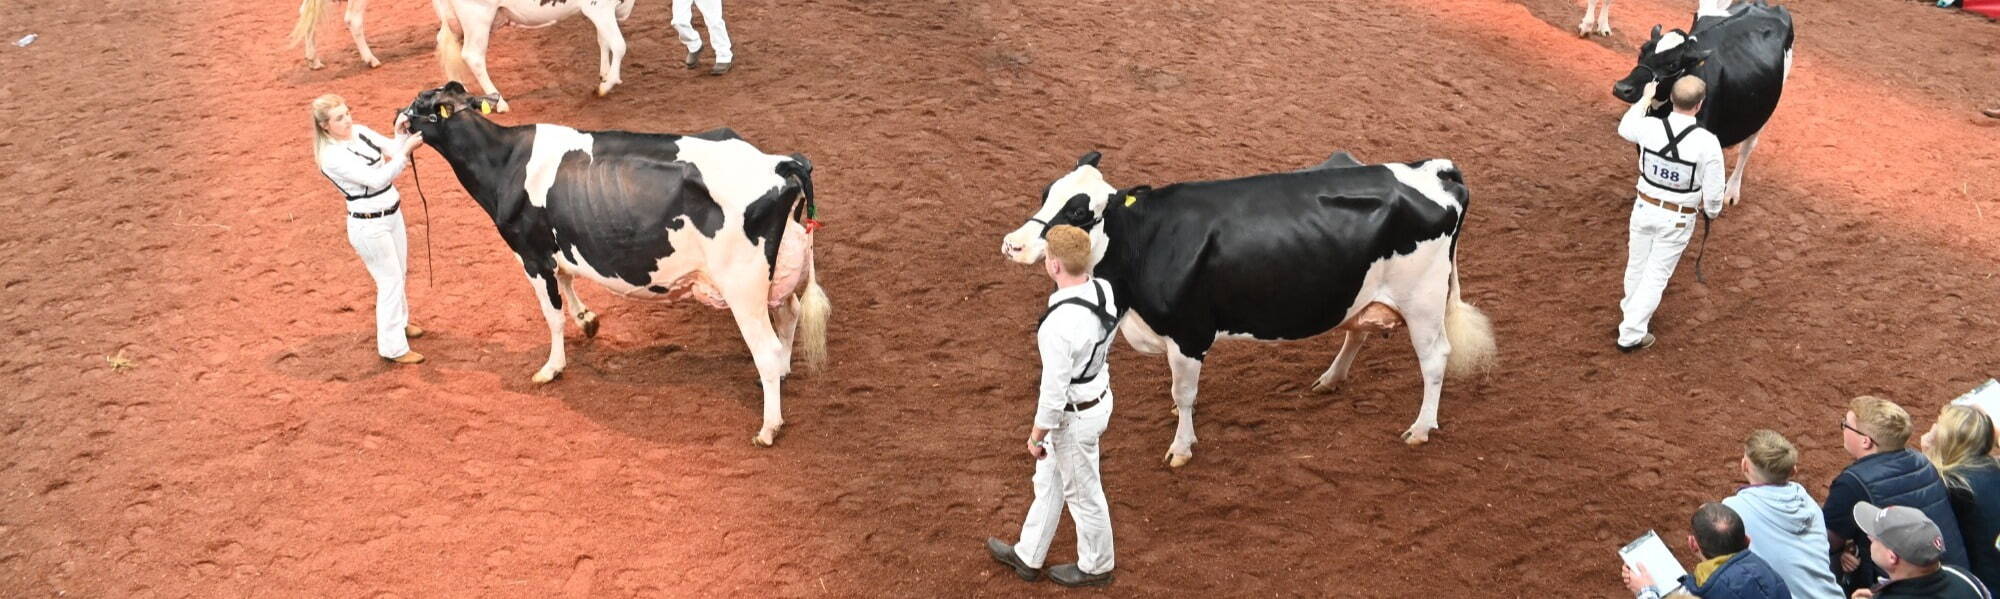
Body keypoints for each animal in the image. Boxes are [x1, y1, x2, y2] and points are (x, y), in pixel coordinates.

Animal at [402, 81, 824, 447]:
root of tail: (779, 163)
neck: (505, 162)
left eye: (421, 106)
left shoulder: (531, 254)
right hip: (777, 273)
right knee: (790, 313)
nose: (398, 115)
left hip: (742, 285)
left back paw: (768, 428)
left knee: (766, 347)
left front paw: (551, 367)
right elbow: (569, 282)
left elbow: (552, 314)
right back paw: (784, 374)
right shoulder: (559, 245)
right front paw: (588, 320)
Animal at [1000, 151, 1504, 465]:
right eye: (1046, 192)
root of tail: (1433, 169)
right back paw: (1331, 379)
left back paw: (1420, 428)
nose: (1013, 245)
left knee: (1435, 358)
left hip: (1423, 300)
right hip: (1364, 289)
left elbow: (1184, 394)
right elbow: (1180, 394)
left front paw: (1181, 447)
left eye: (1079, 213)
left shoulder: (1189, 334)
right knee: (1356, 329)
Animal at [1608, 0, 1800, 204]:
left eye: (1672, 65)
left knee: (1747, 147)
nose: (1622, 88)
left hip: (1763, 113)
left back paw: (1732, 191)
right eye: (1641, 52)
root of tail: (1760, 5)